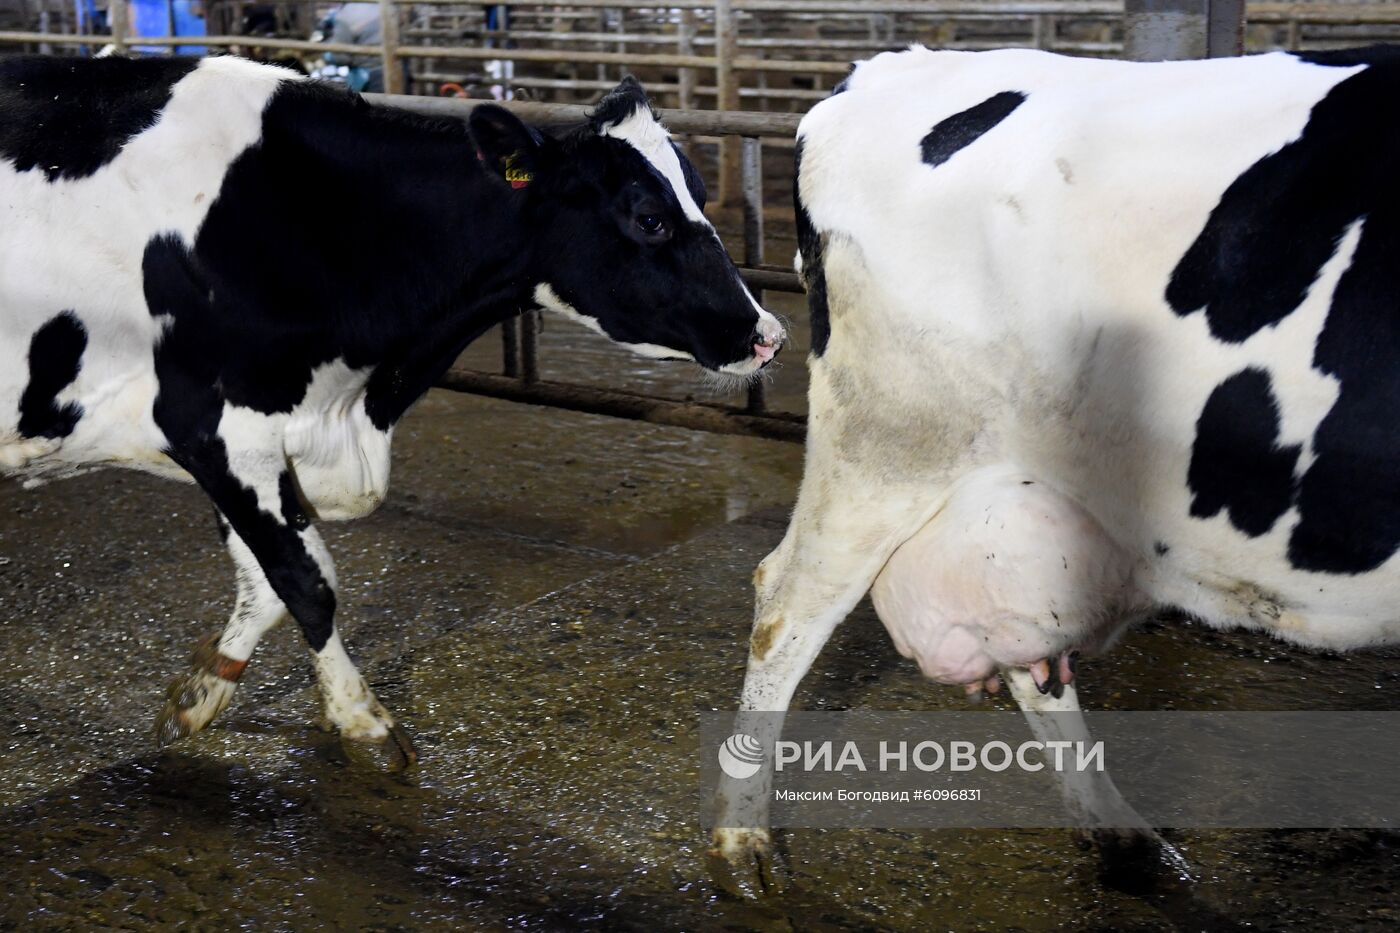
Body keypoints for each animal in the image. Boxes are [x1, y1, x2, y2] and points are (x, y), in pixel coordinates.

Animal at [2, 54, 789, 762]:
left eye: (695, 191)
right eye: (649, 217)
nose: (768, 334)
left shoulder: (256, 437)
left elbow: (266, 582)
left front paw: (199, 692)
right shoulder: (213, 423)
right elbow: (306, 579)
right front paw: (362, 720)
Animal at [716, 41, 1400, 874]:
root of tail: (893, 65)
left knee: (1023, 646)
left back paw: (1121, 835)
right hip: (889, 437)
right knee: (788, 601)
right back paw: (742, 844)